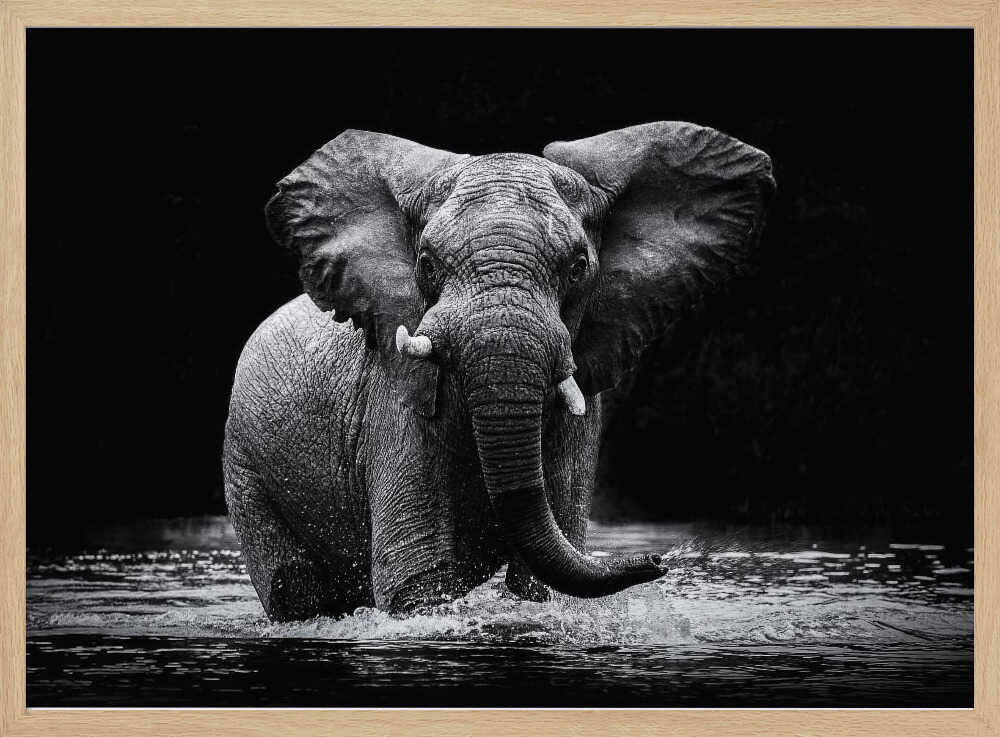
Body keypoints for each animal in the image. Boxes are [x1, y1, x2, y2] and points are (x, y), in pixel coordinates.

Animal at [223, 122, 774, 621]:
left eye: (578, 267)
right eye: (426, 264)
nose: (659, 560)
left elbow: (541, 583)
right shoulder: (394, 399)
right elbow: (417, 582)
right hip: (244, 466)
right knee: (293, 590)